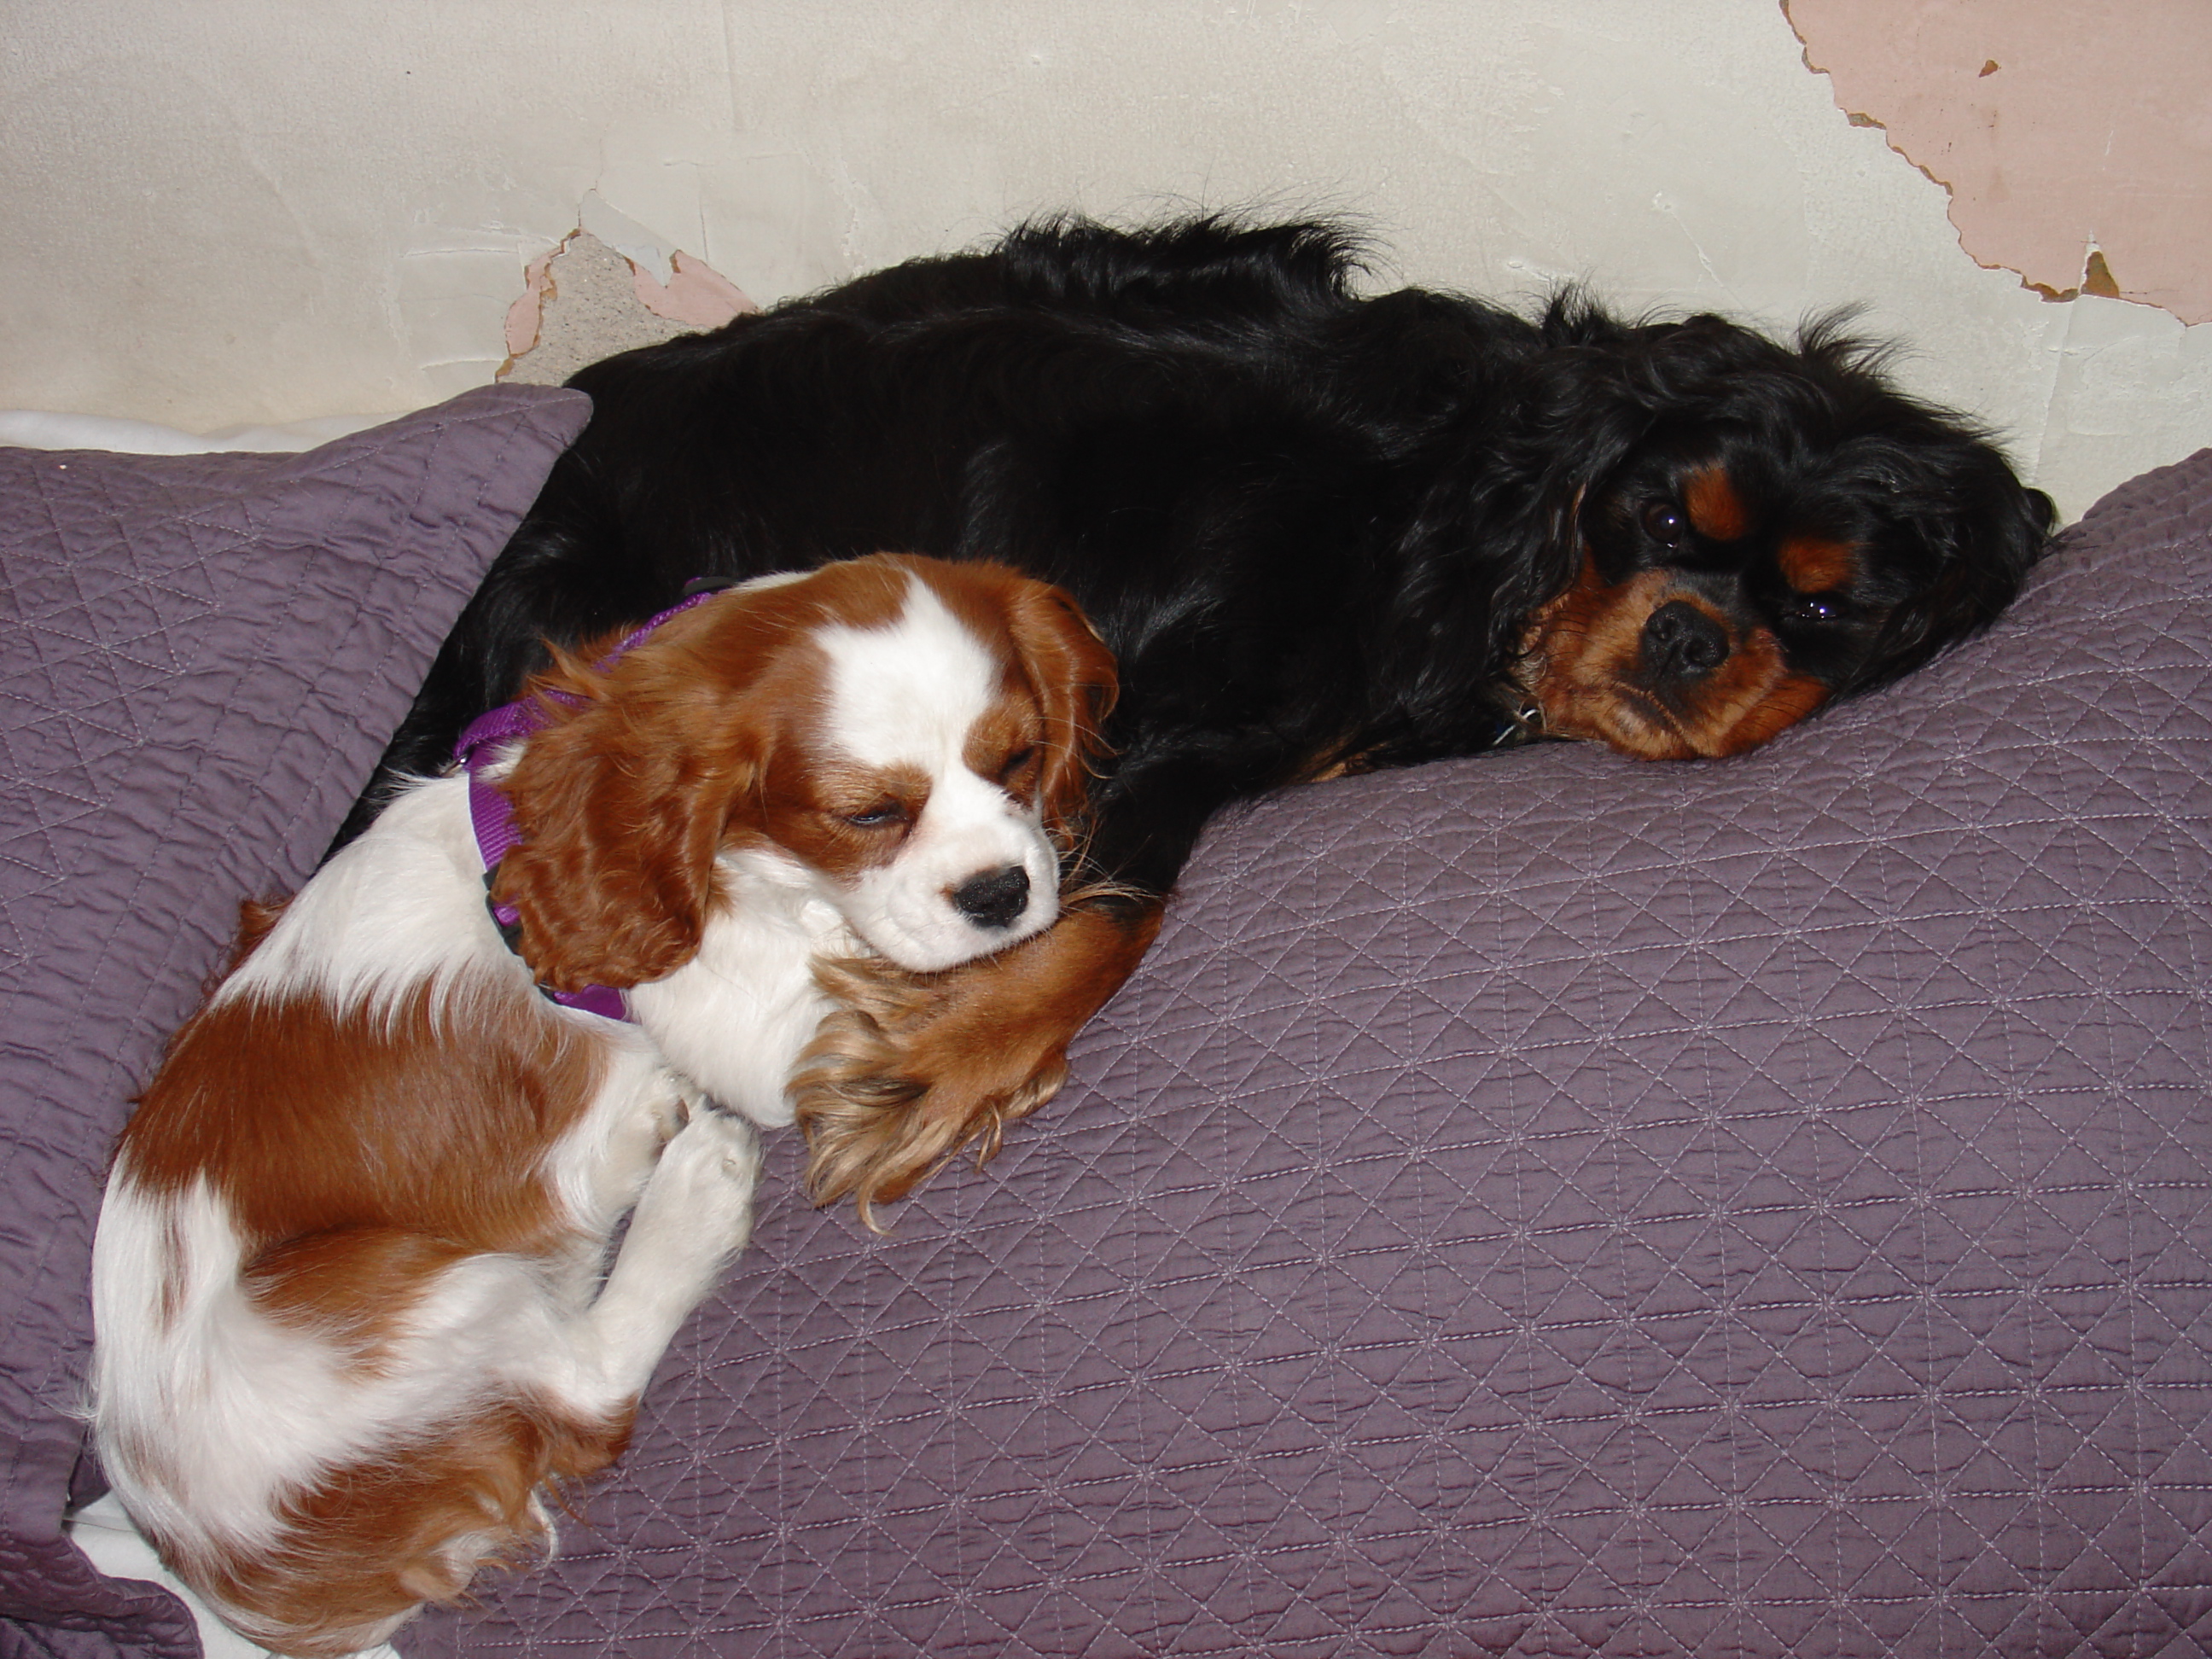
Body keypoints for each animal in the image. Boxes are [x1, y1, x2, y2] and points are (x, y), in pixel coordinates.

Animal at [89, 554, 1115, 1657]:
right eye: (870, 814)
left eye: (1019, 757)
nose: (1001, 892)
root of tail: (226, 1579)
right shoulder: (741, 1020)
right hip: (380, 1301)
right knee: (585, 1396)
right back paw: (687, 1192)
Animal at [349, 213, 2056, 1221]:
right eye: (1656, 515)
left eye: (1824, 611)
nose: (1693, 632)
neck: (1460, 506)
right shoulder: (1133, 716)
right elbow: (1110, 909)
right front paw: (937, 1060)